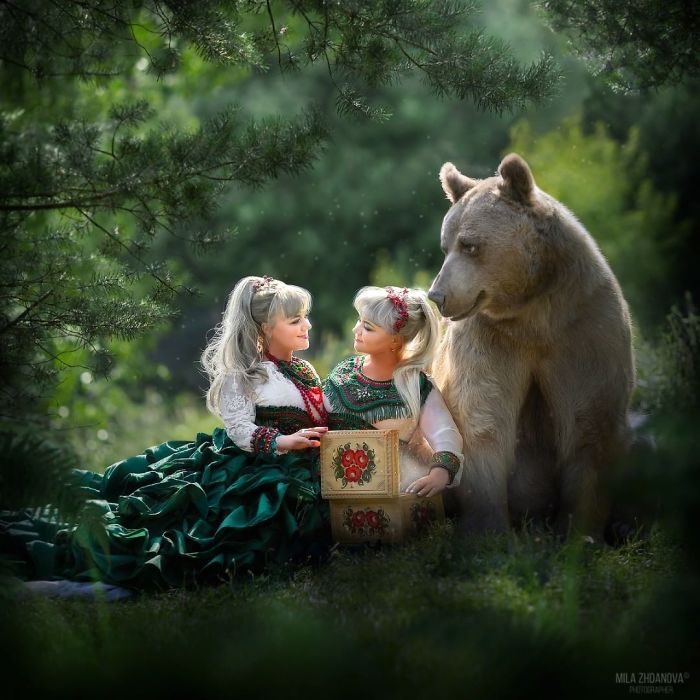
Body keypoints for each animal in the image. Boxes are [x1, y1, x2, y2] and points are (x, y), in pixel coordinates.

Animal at [428, 153, 635, 539]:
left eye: (470, 244)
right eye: (445, 246)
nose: (438, 295)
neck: (534, 314)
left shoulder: (584, 330)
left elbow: (591, 425)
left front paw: (580, 531)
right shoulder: (492, 338)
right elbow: (481, 417)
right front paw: (488, 531)